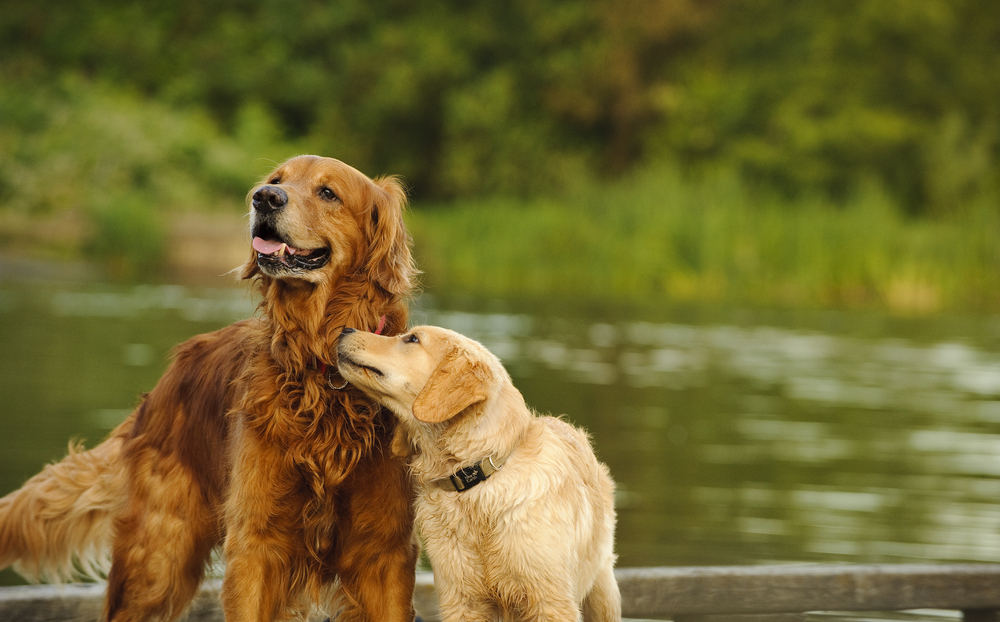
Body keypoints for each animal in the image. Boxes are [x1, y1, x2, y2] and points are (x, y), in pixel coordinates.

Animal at [338, 326, 616, 622]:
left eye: (412, 339)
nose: (345, 329)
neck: (475, 478)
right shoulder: (460, 599)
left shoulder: (550, 600)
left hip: (602, 593)